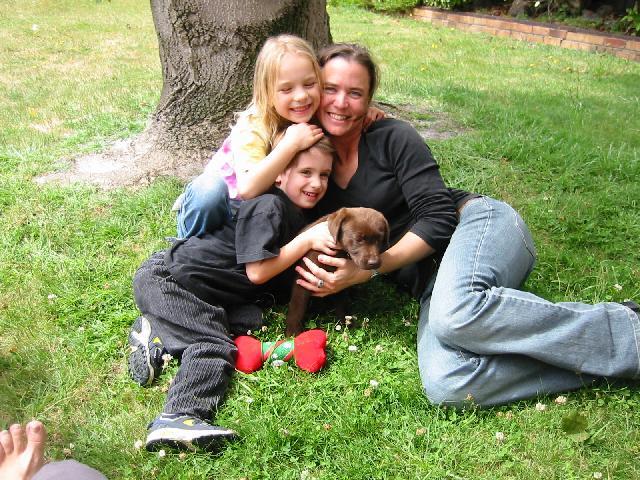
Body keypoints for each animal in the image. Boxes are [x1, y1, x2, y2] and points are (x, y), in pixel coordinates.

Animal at [285, 207, 389, 337]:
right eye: (358, 239)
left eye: (379, 240)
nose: (374, 263)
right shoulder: (303, 276)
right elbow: (297, 305)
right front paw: (293, 333)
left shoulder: (341, 283)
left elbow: (341, 303)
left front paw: (346, 323)